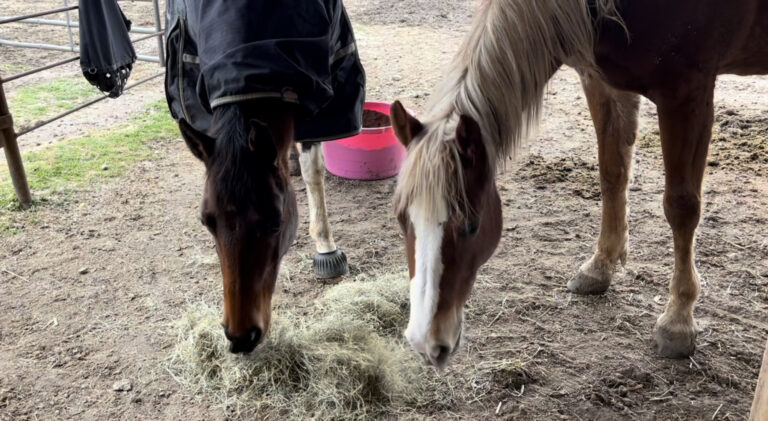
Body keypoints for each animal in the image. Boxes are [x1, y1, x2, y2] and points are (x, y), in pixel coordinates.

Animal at [392, 0, 764, 368]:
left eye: (471, 225)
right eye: (401, 220)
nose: (425, 341)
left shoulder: (687, 94)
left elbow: (681, 207)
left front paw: (678, 320)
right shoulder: (600, 82)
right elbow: (612, 176)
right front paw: (600, 268)